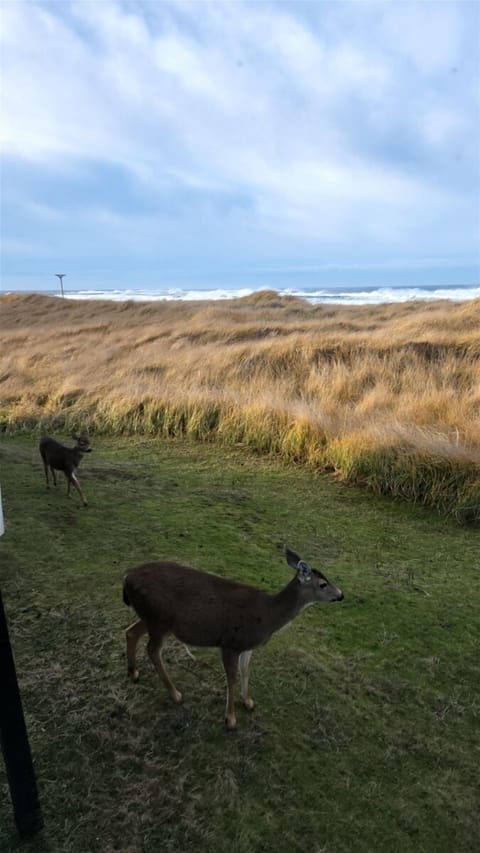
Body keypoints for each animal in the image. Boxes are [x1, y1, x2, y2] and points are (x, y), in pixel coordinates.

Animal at [123, 545, 344, 729]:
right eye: (323, 584)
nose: (341, 595)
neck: (268, 616)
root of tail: (127, 577)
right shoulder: (230, 643)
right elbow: (232, 678)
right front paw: (230, 719)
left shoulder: (247, 646)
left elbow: (245, 672)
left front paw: (248, 702)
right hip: (159, 619)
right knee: (152, 649)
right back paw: (175, 694)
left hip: (152, 618)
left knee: (130, 631)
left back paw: (134, 672)